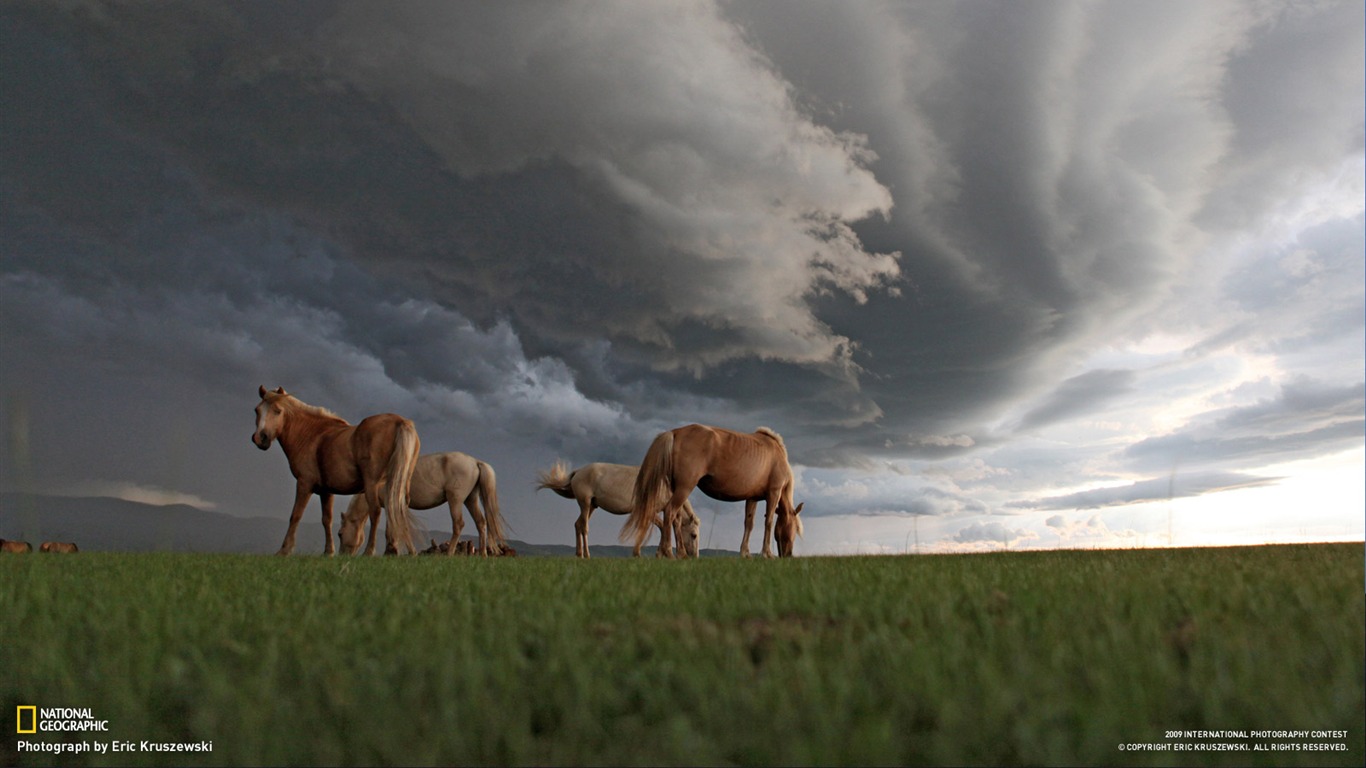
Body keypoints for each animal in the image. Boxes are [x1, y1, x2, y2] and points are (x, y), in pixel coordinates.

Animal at [251, 385, 420, 552]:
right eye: (257, 410)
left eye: (277, 410)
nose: (260, 438)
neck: (311, 435)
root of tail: (400, 421)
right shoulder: (326, 491)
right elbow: (327, 520)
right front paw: (328, 552)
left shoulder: (304, 484)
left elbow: (295, 515)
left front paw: (285, 550)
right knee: (399, 510)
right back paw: (407, 551)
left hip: (373, 485)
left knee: (376, 512)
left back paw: (369, 551)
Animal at [338, 448, 510, 554]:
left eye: (339, 534)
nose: (342, 555)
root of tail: (475, 462)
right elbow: (391, 530)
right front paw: (391, 551)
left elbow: (397, 529)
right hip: (470, 499)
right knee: (481, 522)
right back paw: (483, 554)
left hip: (455, 500)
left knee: (458, 524)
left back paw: (449, 554)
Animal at [535, 456, 699, 560]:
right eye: (694, 535)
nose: (694, 556)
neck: (661, 485)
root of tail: (579, 471)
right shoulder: (648, 511)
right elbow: (659, 527)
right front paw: (655, 553)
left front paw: (654, 553)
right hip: (585, 504)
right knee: (584, 527)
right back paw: (587, 555)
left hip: (592, 506)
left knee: (578, 524)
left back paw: (579, 554)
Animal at [625, 423, 803, 554]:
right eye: (795, 528)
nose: (788, 555)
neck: (778, 455)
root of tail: (675, 433)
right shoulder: (773, 493)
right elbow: (769, 522)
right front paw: (767, 553)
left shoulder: (752, 498)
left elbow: (749, 523)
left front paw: (745, 553)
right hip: (685, 487)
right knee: (669, 512)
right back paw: (668, 552)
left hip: (676, 489)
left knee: (676, 518)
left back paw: (678, 553)